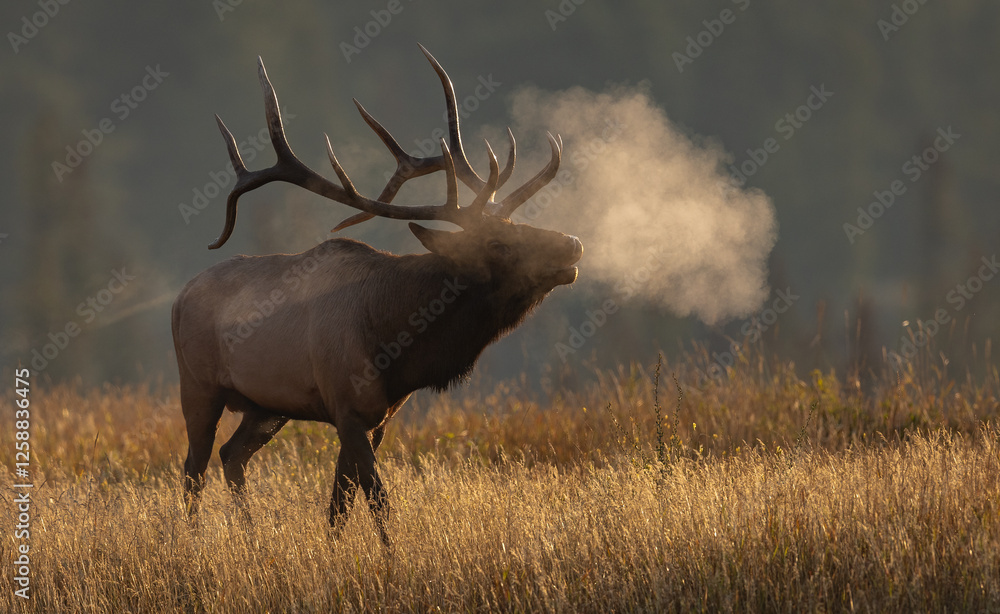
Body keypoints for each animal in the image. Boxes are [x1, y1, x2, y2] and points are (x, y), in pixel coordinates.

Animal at [171, 45, 583, 544]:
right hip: (198, 386)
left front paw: (333, 551)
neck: (396, 345)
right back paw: (192, 540)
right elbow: (377, 501)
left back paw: (250, 537)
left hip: (267, 405)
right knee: (193, 468)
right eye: (497, 244)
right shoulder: (348, 409)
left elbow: (339, 504)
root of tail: (178, 298)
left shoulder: (378, 417)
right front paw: (390, 556)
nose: (572, 243)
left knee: (232, 455)